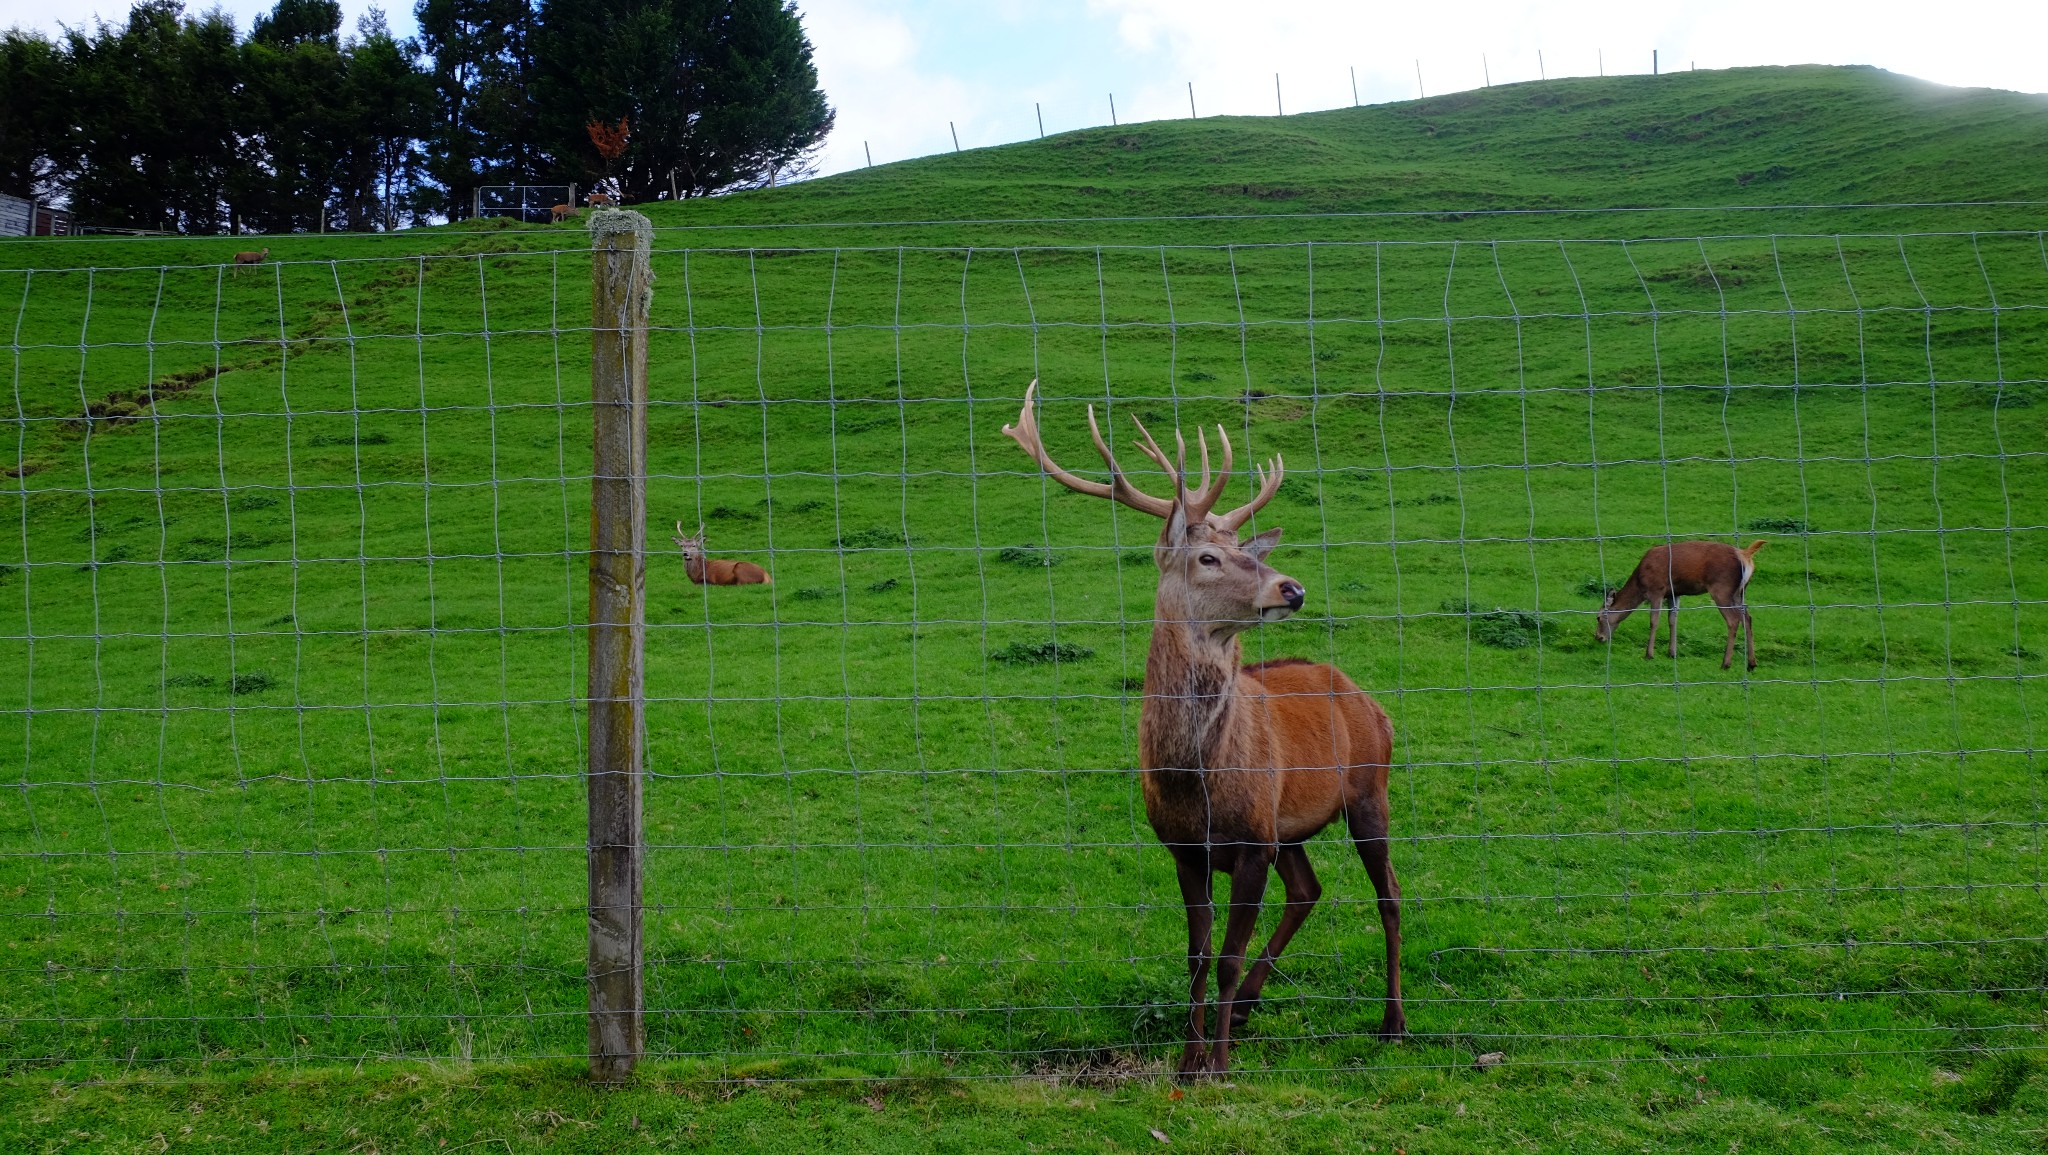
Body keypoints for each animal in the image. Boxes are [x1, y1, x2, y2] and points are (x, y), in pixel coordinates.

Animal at [1007, 378, 1409, 1073]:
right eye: (1208, 557)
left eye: (1247, 552)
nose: (1292, 588)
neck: (1192, 779)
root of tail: (1369, 700)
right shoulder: (1186, 848)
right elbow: (1196, 956)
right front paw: (1189, 1059)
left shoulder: (1250, 843)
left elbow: (1226, 956)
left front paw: (1217, 1067)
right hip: (1289, 823)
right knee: (1308, 888)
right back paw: (1249, 1009)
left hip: (1368, 790)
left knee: (1389, 894)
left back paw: (1393, 1022)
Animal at [1589, 540, 1769, 667]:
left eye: (1598, 617)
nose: (1598, 637)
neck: (1640, 583)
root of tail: (1745, 555)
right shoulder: (1674, 593)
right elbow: (1672, 620)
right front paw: (1672, 653)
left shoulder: (1656, 589)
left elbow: (1654, 621)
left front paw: (1649, 654)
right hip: (1740, 592)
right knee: (1747, 618)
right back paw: (1751, 663)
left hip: (1721, 589)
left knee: (1733, 620)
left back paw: (1726, 663)